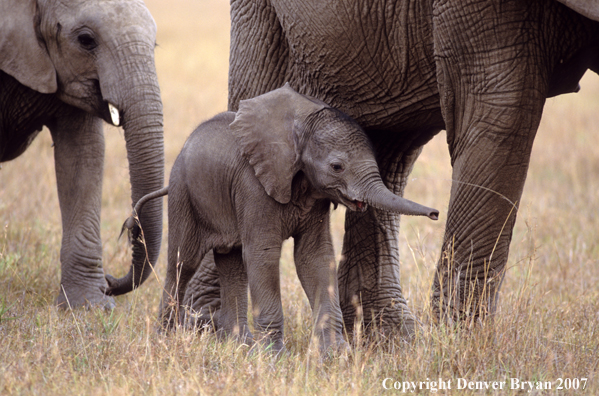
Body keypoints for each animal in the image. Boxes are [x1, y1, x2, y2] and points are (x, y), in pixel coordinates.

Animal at [129, 85, 438, 352]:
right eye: (337, 167)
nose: (435, 213)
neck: (301, 129)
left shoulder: (315, 196)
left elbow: (314, 257)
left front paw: (336, 355)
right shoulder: (253, 185)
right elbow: (263, 255)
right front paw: (273, 358)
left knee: (232, 263)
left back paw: (239, 345)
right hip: (184, 193)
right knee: (184, 261)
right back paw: (165, 339)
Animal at [178, 0, 599, 338]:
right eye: (334, 165)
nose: (434, 213)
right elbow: (501, 112)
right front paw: (464, 346)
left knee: (394, 139)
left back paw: (388, 343)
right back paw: (207, 330)